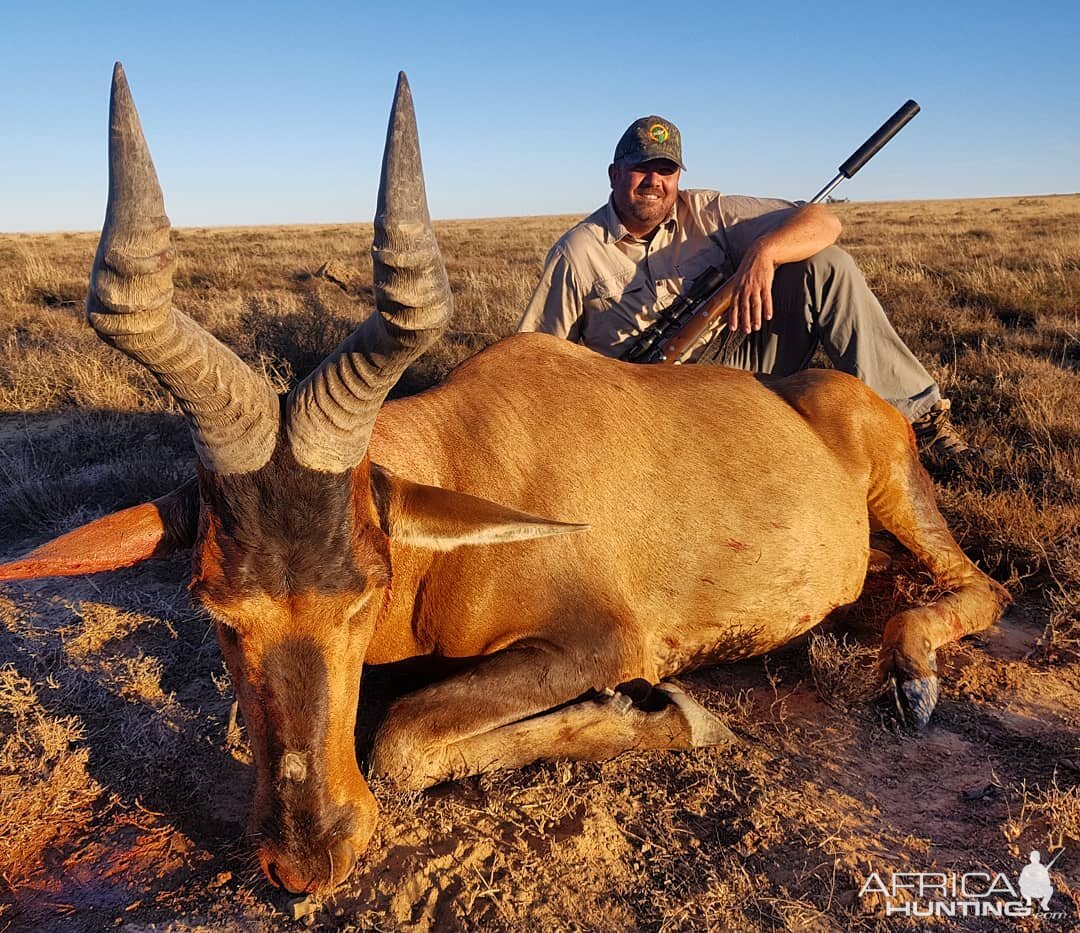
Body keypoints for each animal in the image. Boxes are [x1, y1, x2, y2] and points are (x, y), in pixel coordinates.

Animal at [2, 67, 1010, 898]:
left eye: (363, 592)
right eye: (214, 605)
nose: (304, 860)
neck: (472, 453)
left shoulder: (601, 637)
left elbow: (404, 737)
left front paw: (673, 713)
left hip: (896, 487)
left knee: (983, 588)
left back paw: (913, 677)